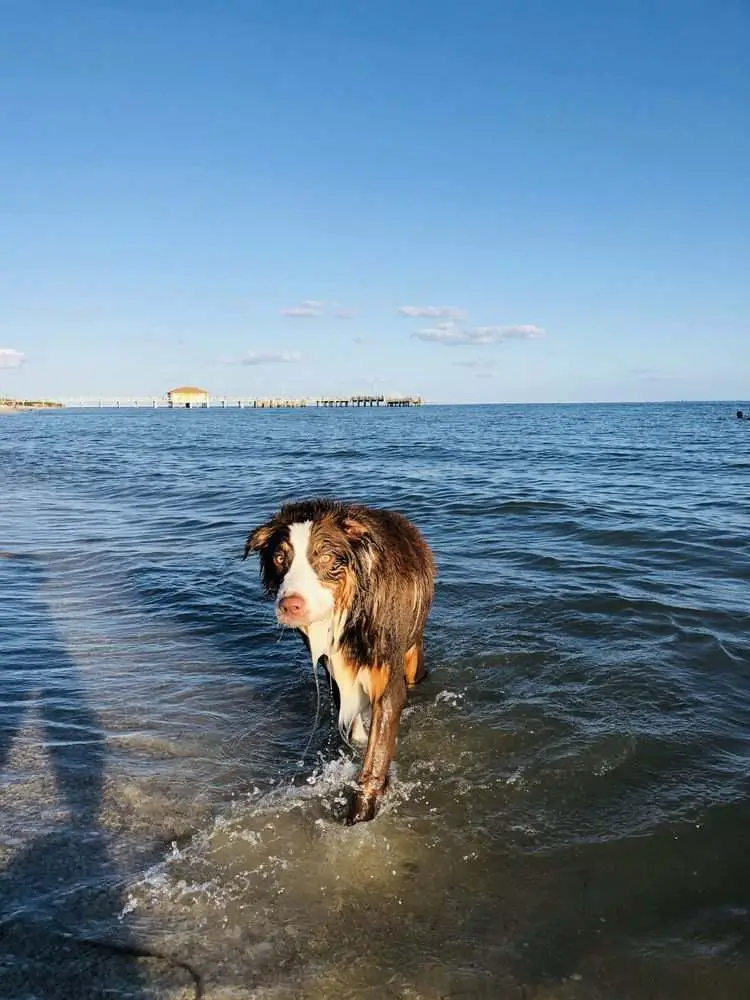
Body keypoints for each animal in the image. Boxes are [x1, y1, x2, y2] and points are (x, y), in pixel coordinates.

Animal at [247, 498, 434, 820]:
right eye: (280, 557)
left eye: (325, 557)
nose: (290, 606)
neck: (351, 613)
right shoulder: (334, 672)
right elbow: (353, 728)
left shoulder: (387, 680)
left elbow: (375, 755)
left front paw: (359, 813)